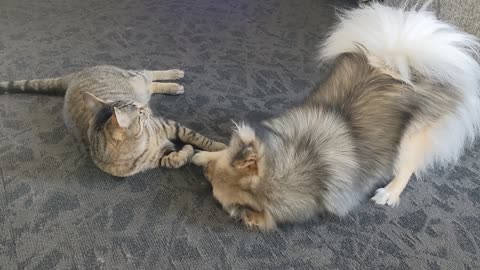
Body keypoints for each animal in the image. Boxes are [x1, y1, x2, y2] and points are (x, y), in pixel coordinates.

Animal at [0, 66, 226, 177]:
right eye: (139, 113)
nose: (146, 109)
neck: (145, 143)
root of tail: (75, 75)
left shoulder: (170, 125)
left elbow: (198, 138)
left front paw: (219, 147)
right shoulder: (161, 156)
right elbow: (176, 159)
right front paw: (187, 152)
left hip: (136, 77)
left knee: (150, 72)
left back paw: (175, 76)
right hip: (141, 86)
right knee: (151, 84)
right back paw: (172, 86)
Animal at [191, 2, 480, 230]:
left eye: (211, 181)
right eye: (212, 173)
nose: (204, 170)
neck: (309, 159)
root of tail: (406, 67)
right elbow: (224, 145)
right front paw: (203, 153)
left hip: (411, 138)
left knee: (408, 167)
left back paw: (389, 192)